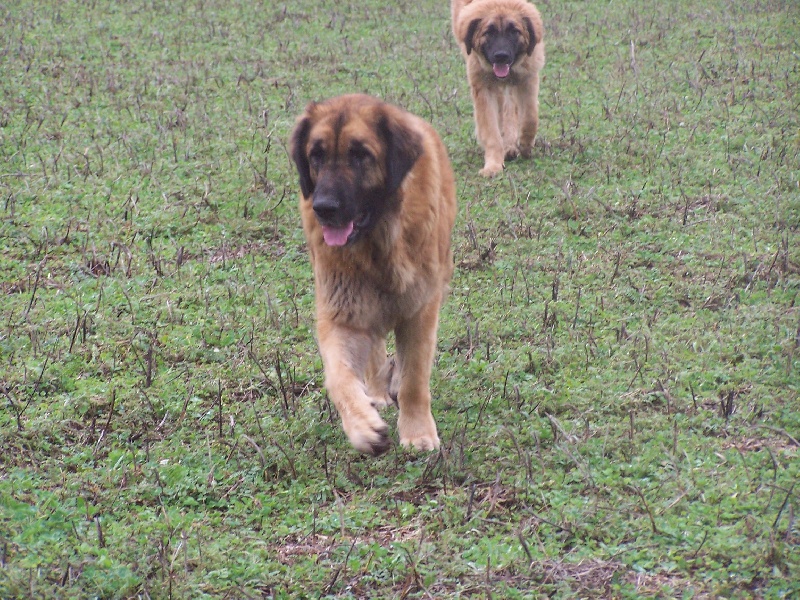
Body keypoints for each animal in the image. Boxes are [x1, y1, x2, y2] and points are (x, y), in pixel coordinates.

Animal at [292, 95, 456, 454]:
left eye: (360, 155)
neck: (378, 243)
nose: (323, 208)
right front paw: (362, 425)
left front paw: (417, 432)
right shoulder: (342, 312)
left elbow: (413, 379)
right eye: (316, 155)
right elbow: (339, 377)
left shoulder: (421, 310)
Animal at [450, 0, 544, 177]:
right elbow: (491, 131)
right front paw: (493, 165)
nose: (501, 56)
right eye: (489, 32)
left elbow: (530, 117)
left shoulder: (527, 77)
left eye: (514, 31)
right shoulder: (483, 87)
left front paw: (525, 145)